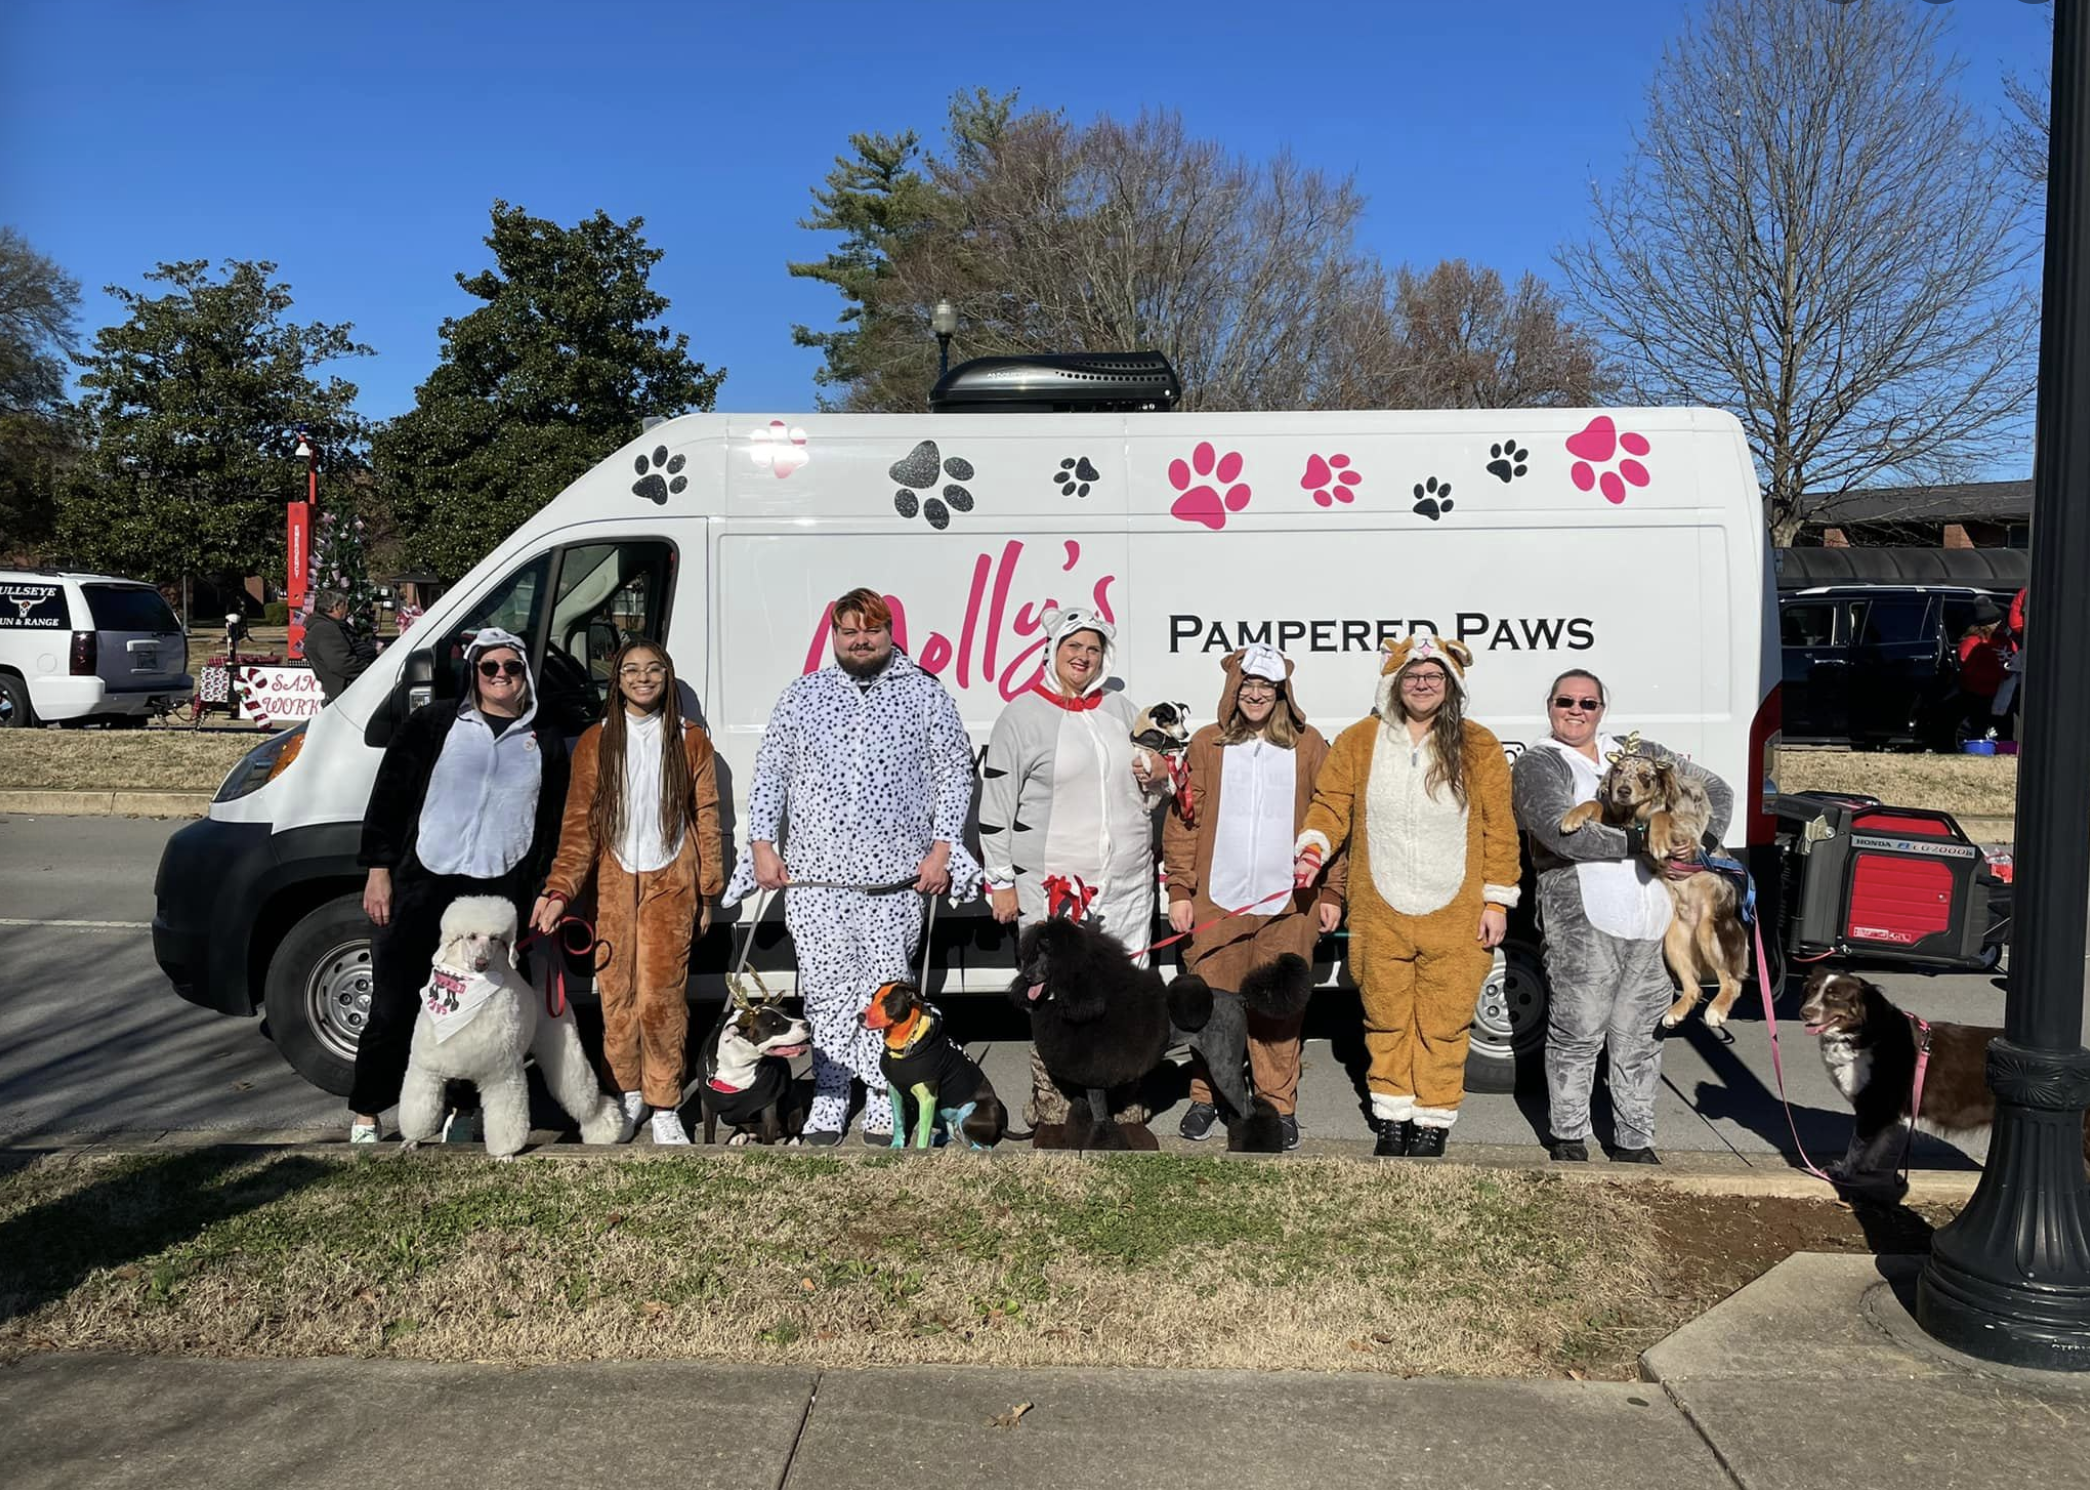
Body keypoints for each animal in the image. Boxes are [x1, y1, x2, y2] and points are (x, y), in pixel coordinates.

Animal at [1571, 739, 1747, 1028]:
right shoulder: (1615, 821)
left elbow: (1663, 817)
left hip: (1708, 931)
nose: (1623, 790)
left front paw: (1657, 839)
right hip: (1673, 942)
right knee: (1694, 987)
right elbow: (1596, 806)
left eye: (1646, 776)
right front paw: (1572, 816)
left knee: (1732, 982)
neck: (1636, 815)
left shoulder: (1686, 832)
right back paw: (1676, 1011)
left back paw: (1717, 1009)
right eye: (1618, 770)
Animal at [1797, 965, 2090, 1186]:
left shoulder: (1874, 1104)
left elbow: (1857, 1143)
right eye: (1812, 990)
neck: (1867, 1032)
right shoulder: (1887, 1110)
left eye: (1834, 996)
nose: (1804, 1012)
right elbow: (1877, 1142)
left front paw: (1842, 1171)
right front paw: (1865, 1166)